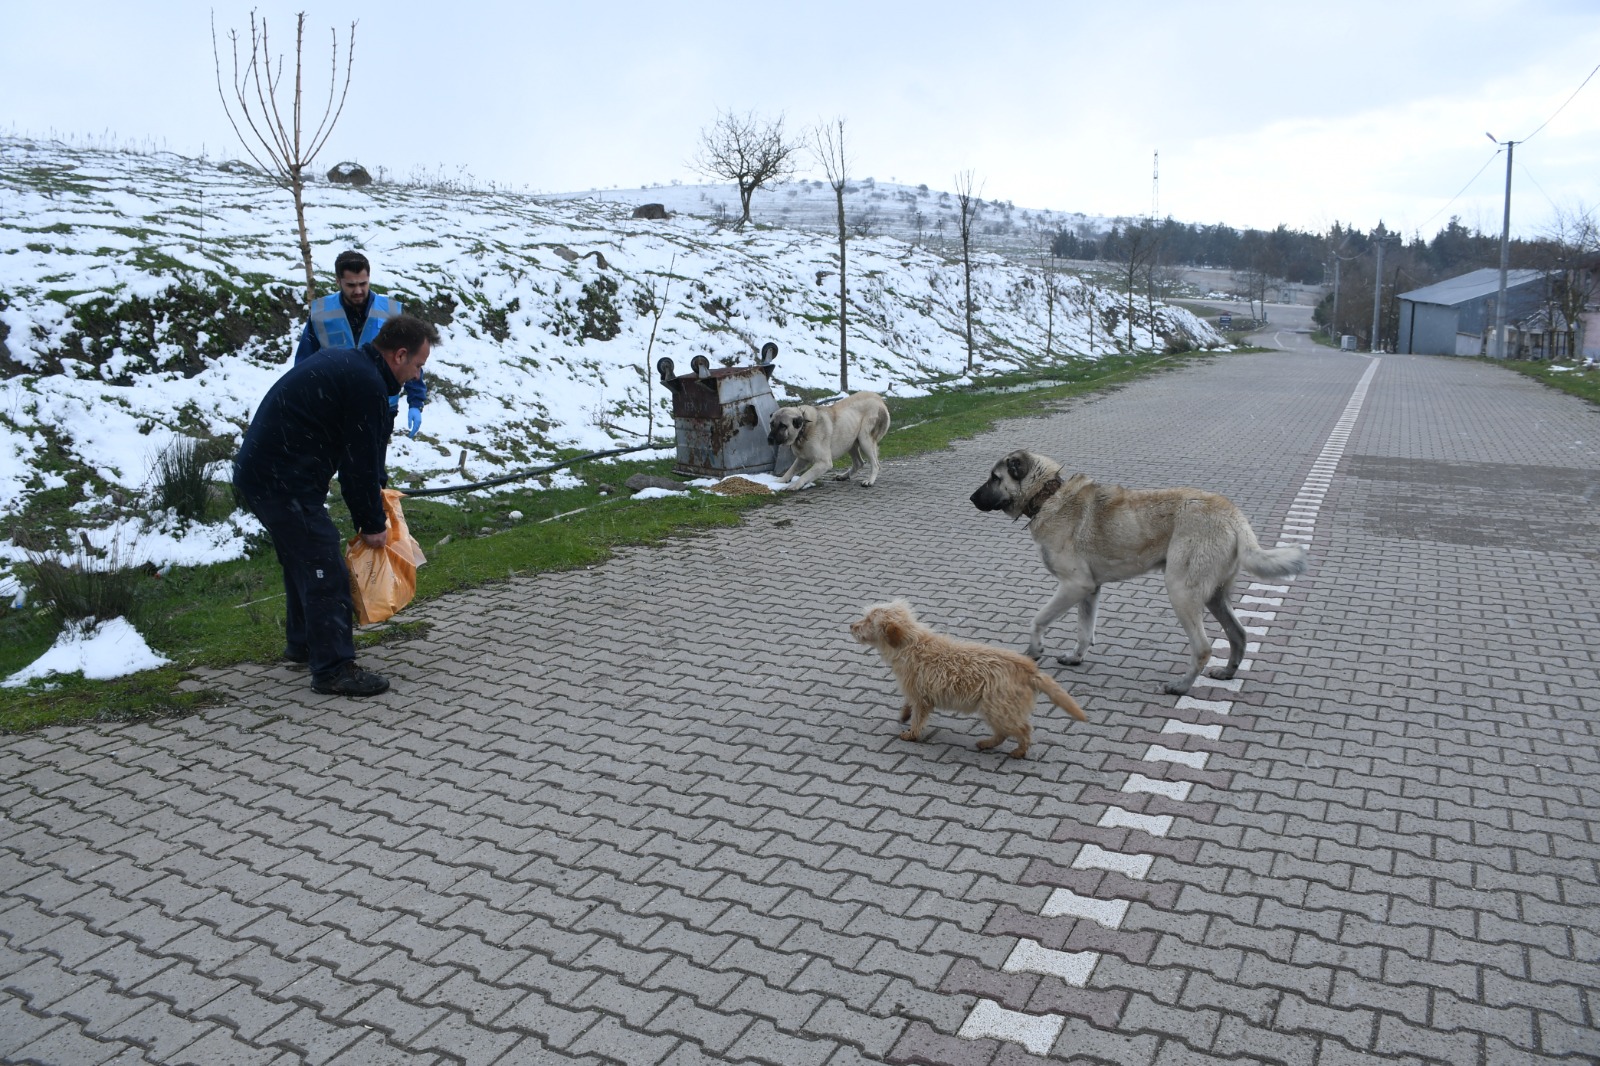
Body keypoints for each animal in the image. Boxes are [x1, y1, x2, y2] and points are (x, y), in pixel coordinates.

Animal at [768, 390, 896, 489]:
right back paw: (844, 476)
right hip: (849, 441)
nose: (769, 439)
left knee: (876, 464)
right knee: (859, 463)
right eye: (772, 424)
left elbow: (805, 475)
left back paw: (869, 481)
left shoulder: (824, 463)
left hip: (865, 440)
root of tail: (879, 399)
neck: (804, 429)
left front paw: (795, 485)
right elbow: (790, 470)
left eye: (783, 426)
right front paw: (779, 481)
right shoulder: (802, 459)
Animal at [851, 598, 1088, 755]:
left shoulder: (921, 697)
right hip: (995, 709)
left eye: (869, 621)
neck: (911, 643)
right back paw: (987, 744)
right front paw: (903, 715)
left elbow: (918, 718)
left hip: (998, 708)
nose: (851, 626)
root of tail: (1029, 669)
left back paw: (1019, 751)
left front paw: (912, 734)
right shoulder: (916, 693)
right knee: (1004, 733)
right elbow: (908, 706)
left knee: (1023, 729)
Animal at [966, 444, 1305, 688]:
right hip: (1214, 596)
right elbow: (1084, 631)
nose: (970, 498)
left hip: (1181, 591)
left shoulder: (1074, 585)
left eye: (995, 478)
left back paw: (1182, 686)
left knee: (1203, 647)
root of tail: (1233, 515)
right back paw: (1227, 673)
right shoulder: (1089, 590)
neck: (1048, 496)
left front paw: (1035, 650)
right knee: (1239, 635)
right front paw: (1076, 658)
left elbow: (1038, 620)